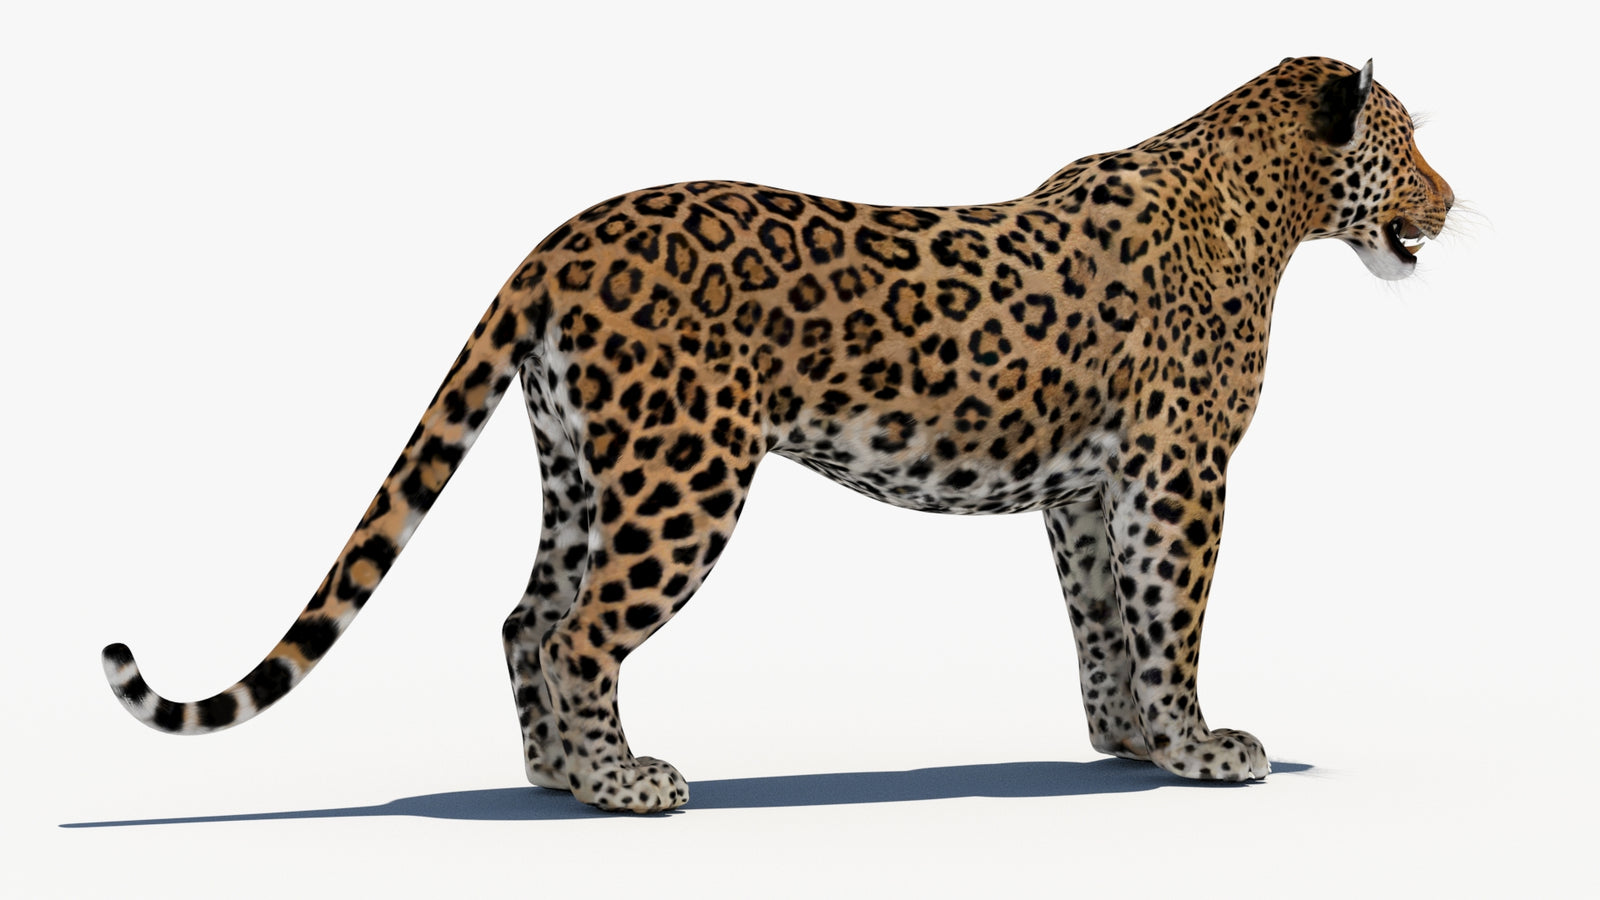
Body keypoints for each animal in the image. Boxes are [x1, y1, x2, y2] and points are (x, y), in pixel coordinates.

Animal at [103, 56, 1453, 813]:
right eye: (1409, 144)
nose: (1448, 202)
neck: (1268, 203)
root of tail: (560, 238)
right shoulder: (1180, 474)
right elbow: (1170, 615)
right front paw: (1198, 750)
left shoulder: (1086, 489)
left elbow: (1101, 620)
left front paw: (1124, 742)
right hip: (684, 476)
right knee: (582, 630)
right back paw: (622, 788)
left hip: (581, 465)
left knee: (528, 617)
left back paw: (552, 775)